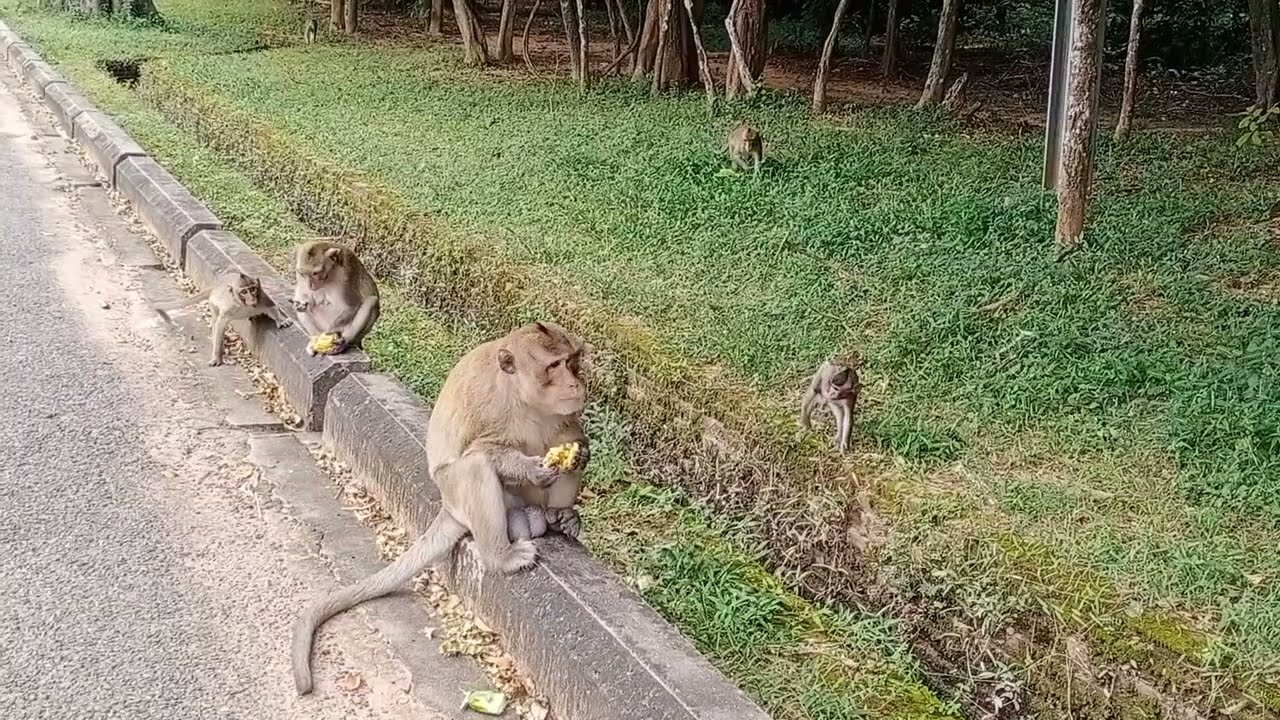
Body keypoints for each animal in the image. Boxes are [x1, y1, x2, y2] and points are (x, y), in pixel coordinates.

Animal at [153, 272, 292, 367]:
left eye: (253, 289)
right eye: (244, 292)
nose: (252, 298)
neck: (244, 305)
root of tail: (214, 286)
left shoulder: (262, 298)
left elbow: (272, 307)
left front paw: (282, 320)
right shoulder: (228, 308)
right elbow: (220, 324)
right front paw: (216, 357)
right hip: (212, 304)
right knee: (215, 323)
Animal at [290, 321, 590, 695]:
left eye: (573, 361)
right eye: (553, 366)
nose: (575, 383)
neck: (522, 396)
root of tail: (448, 506)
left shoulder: (563, 409)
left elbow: (573, 433)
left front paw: (579, 454)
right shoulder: (490, 404)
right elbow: (483, 450)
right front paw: (532, 468)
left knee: (564, 434)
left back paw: (558, 517)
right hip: (462, 495)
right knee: (475, 468)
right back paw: (501, 557)